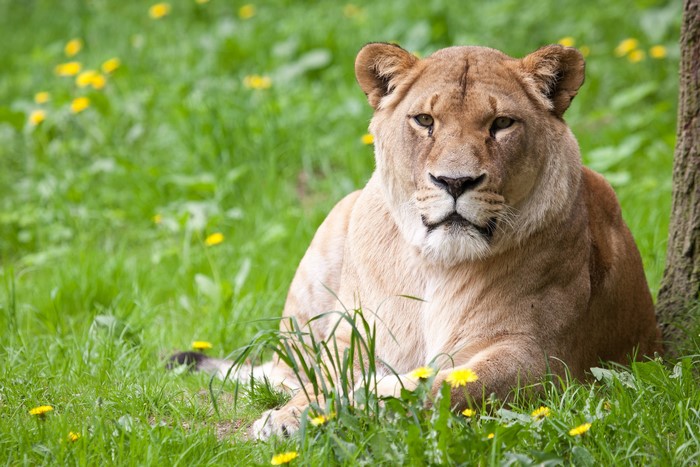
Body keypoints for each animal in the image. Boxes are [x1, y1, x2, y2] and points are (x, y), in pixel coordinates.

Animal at [171, 42, 662, 440]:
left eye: (502, 123)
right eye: (425, 120)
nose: (455, 181)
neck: (435, 265)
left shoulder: (540, 357)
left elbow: (445, 385)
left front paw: (369, 397)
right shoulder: (355, 334)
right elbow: (329, 380)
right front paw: (291, 418)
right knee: (287, 369)